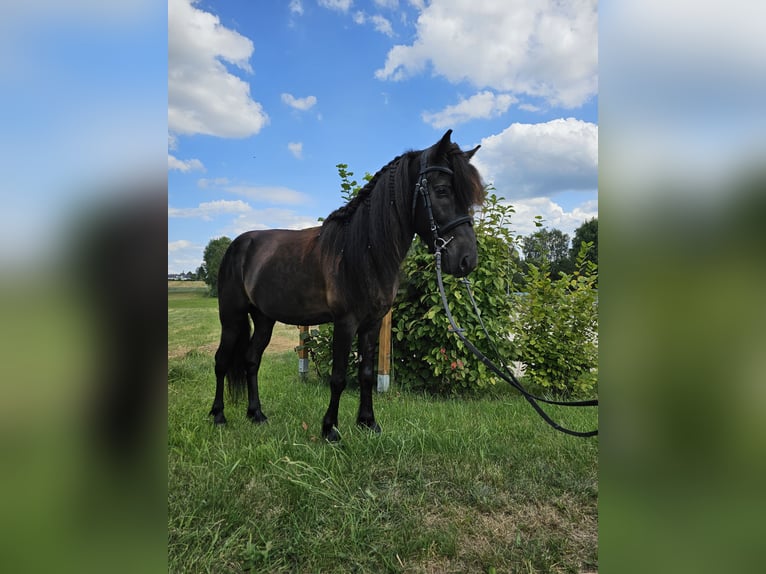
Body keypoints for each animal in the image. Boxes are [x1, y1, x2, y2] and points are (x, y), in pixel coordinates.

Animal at [213, 130, 484, 444]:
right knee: (221, 361)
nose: (467, 259)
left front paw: (368, 422)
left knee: (251, 360)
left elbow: (366, 373)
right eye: (441, 191)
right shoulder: (345, 323)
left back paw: (256, 414)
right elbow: (339, 377)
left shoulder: (372, 324)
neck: (364, 250)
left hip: (264, 319)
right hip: (231, 317)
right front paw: (330, 428)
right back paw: (218, 416)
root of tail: (238, 245)